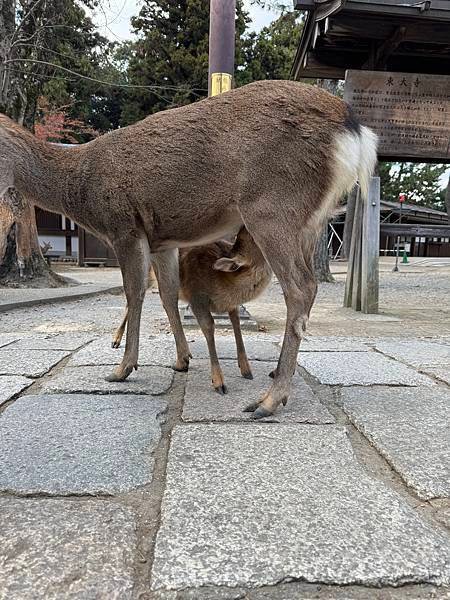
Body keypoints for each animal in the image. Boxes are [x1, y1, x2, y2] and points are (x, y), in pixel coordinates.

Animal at [113, 227, 270, 392]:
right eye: (253, 237)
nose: (241, 227)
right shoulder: (196, 296)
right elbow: (208, 326)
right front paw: (218, 382)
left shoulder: (231, 304)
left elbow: (236, 324)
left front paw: (247, 370)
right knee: (135, 298)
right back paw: (116, 341)